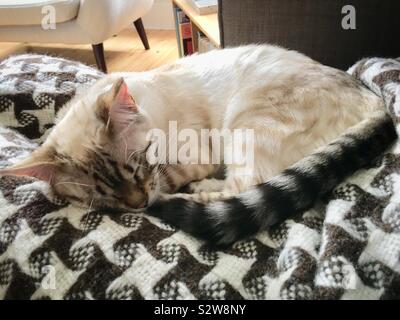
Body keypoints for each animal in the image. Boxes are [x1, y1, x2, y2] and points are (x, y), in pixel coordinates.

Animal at [0, 44, 396, 245]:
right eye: (104, 197)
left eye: (139, 164)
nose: (138, 204)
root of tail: (377, 101)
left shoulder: (189, 159)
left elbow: (171, 178)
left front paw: (165, 194)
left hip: (248, 119)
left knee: (244, 185)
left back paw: (190, 195)